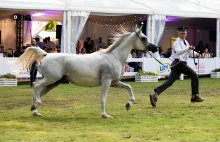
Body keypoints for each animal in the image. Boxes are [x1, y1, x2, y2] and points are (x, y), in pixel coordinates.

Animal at [14, 25, 158, 118]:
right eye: (144, 38)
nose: (155, 48)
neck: (113, 57)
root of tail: (46, 55)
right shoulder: (106, 82)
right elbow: (103, 98)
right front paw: (105, 115)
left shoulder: (114, 83)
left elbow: (129, 87)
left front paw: (128, 104)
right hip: (50, 79)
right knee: (35, 86)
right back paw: (36, 106)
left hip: (53, 83)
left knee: (37, 92)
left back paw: (35, 111)